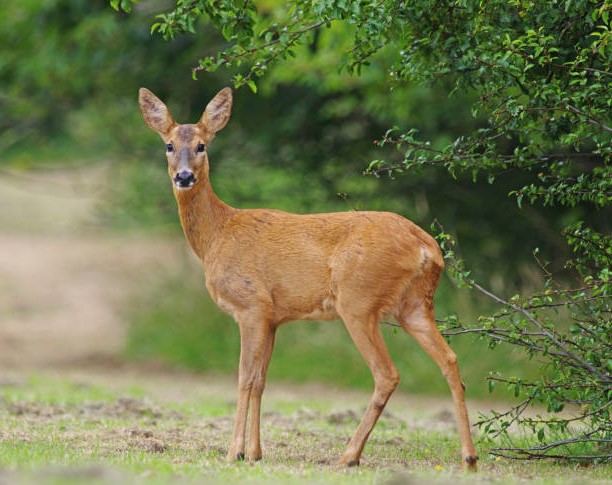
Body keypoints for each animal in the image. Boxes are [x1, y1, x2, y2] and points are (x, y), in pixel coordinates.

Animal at [139, 86, 478, 468]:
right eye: (168, 145)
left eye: (201, 145)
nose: (184, 177)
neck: (218, 235)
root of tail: (427, 248)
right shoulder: (274, 317)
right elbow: (261, 380)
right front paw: (255, 452)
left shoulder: (251, 305)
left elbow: (244, 378)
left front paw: (234, 451)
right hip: (415, 305)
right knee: (450, 360)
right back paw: (469, 457)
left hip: (358, 300)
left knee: (387, 373)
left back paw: (349, 455)